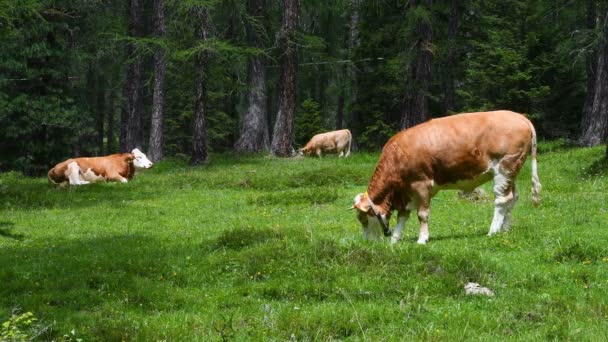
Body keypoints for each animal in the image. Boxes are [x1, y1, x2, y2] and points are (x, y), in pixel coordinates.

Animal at [352, 111, 540, 244]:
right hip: (512, 172)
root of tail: (520, 117)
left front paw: (422, 239)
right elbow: (403, 216)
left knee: (502, 200)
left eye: (363, 218)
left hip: (504, 167)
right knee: (513, 197)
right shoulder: (405, 192)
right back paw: (505, 229)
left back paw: (493, 231)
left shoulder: (421, 184)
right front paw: (395, 240)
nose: (367, 243)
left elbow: (422, 214)